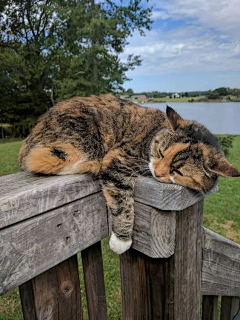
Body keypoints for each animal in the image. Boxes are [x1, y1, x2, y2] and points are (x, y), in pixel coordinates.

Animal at [18, 94, 240, 254]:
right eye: (161, 152)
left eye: (177, 171)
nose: (157, 172)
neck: (153, 135)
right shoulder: (119, 159)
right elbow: (122, 201)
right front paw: (121, 241)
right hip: (78, 140)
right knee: (38, 160)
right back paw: (91, 164)